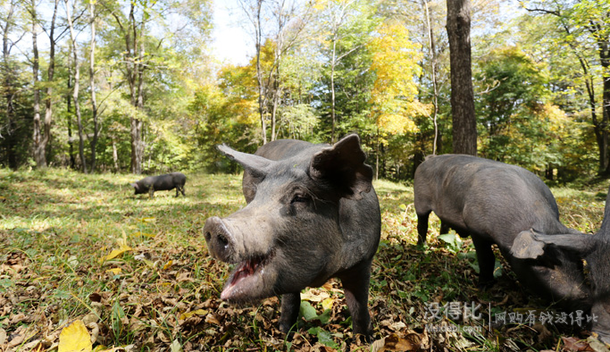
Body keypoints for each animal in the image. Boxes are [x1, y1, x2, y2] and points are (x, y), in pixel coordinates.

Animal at [202, 135, 378, 338]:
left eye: (300, 198)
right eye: (258, 195)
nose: (214, 224)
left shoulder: (364, 261)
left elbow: (360, 305)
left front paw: (365, 338)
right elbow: (291, 299)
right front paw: (285, 332)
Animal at [410, 154, 588, 310]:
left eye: (580, 263)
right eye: (543, 263)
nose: (584, 300)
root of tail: (428, 159)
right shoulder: (475, 227)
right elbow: (487, 258)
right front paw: (483, 287)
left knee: (443, 224)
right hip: (419, 200)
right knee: (422, 224)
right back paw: (421, 247)